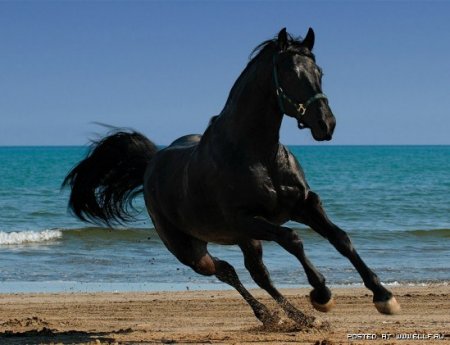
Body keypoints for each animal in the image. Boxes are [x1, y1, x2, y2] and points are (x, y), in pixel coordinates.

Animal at [64, 28, 400, 326]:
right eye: (291, 73)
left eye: (319, 71)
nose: (326, 124)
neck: (259, 154)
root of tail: (151, 163)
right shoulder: (247, 219)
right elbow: (293, 239)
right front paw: (322, 293)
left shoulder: (304, 205)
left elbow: (340, 238)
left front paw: (384, 297)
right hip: (193, 249)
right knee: (230, 272)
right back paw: (281, 316)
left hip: (245, 239)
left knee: (252, 272)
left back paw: (291, 317)